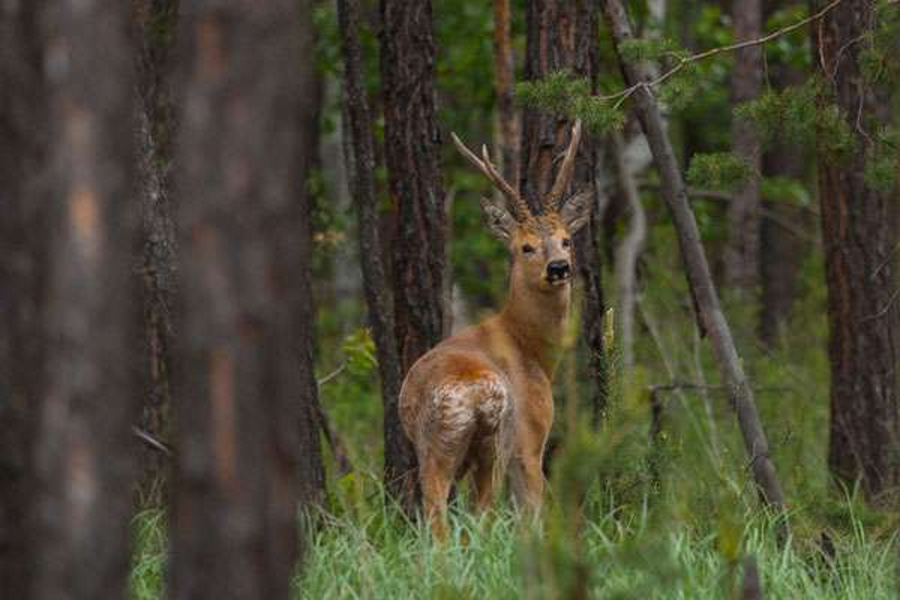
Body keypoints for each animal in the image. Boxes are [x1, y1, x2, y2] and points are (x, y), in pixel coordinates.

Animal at [400, 119, 592, 536]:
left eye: (566, 240)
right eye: (525, 246)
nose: (559, 267)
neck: (529, 347)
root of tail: (474, 391)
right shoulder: (531, 437)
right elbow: (534, 511)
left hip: (463, 448)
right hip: (466, 442)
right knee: (454, 512)